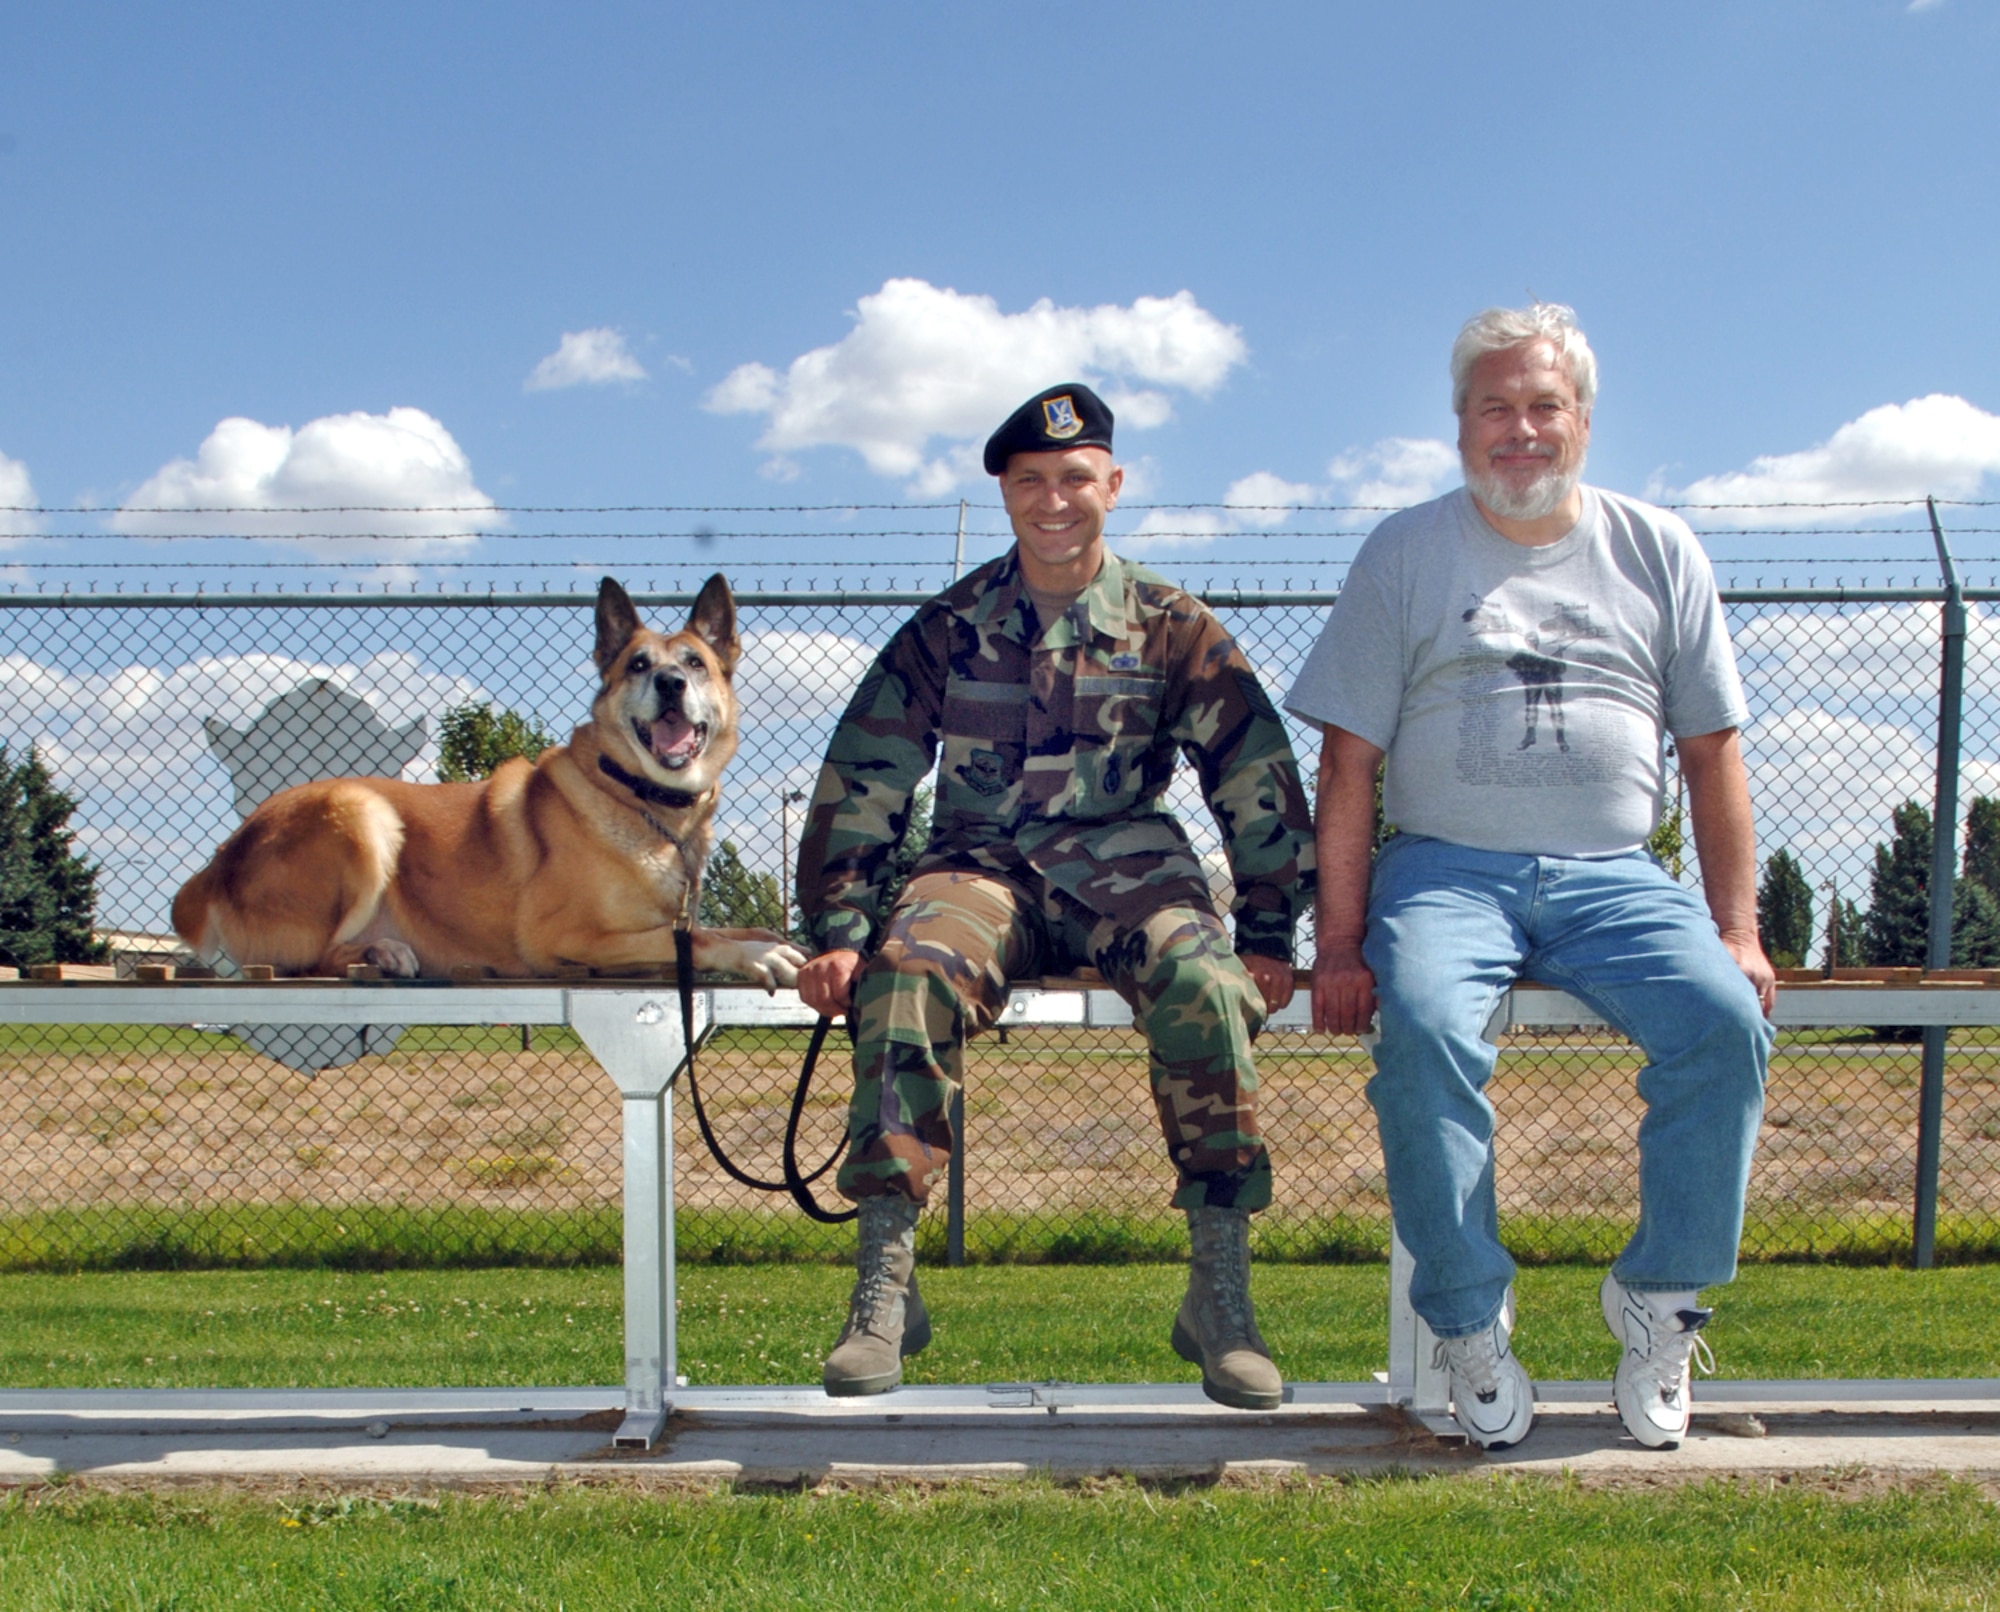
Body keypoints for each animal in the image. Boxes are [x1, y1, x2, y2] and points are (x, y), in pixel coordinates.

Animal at [172, 576, 808, 992]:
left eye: (696, 663)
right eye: (638, 665)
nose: (671, 683)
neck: (636, 797)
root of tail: (219, 860)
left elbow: (724, 925)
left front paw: (783, 941)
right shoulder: (567, 936)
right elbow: (697, 939)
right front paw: (761, 955)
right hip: (360, 812)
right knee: (312, 958)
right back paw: (381, 951)